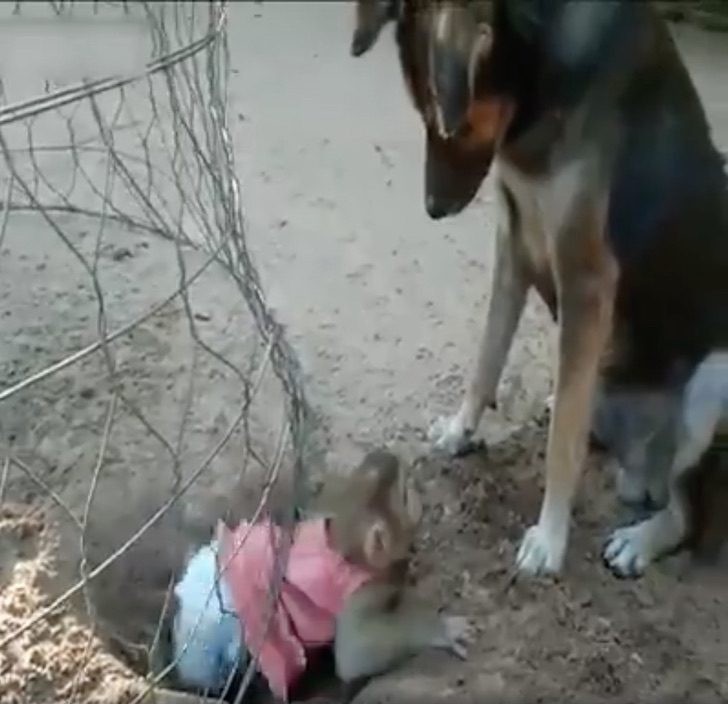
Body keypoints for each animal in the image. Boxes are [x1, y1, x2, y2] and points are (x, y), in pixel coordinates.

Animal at [171, 452, 472, 704]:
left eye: (367, 468)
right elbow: (356, 654)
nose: (388, 456)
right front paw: (438, 628)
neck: (341, 544)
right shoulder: (361, 592)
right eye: (407, 494)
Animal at [350, 1, 724, 576]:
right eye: (423, 117)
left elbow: (561, 443)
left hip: (713, 380)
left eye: (454, 126)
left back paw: (641, 538)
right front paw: (460, 430)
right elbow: (487, 359)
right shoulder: (515, 239)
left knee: (686, 513)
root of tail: (644, 470)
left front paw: (550, 538)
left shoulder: (587, 279)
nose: (433, 208)